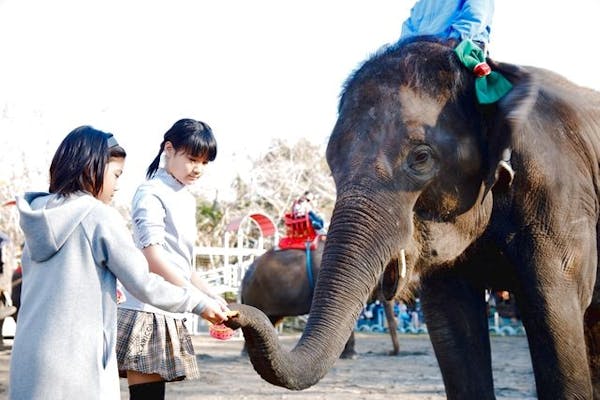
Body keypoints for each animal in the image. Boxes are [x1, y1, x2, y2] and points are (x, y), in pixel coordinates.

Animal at [238, 238, 398, 356]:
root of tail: (245, 274)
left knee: (271, 320)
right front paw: (351, 355)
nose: (390, 352)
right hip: (256, 294)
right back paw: (246, 355)